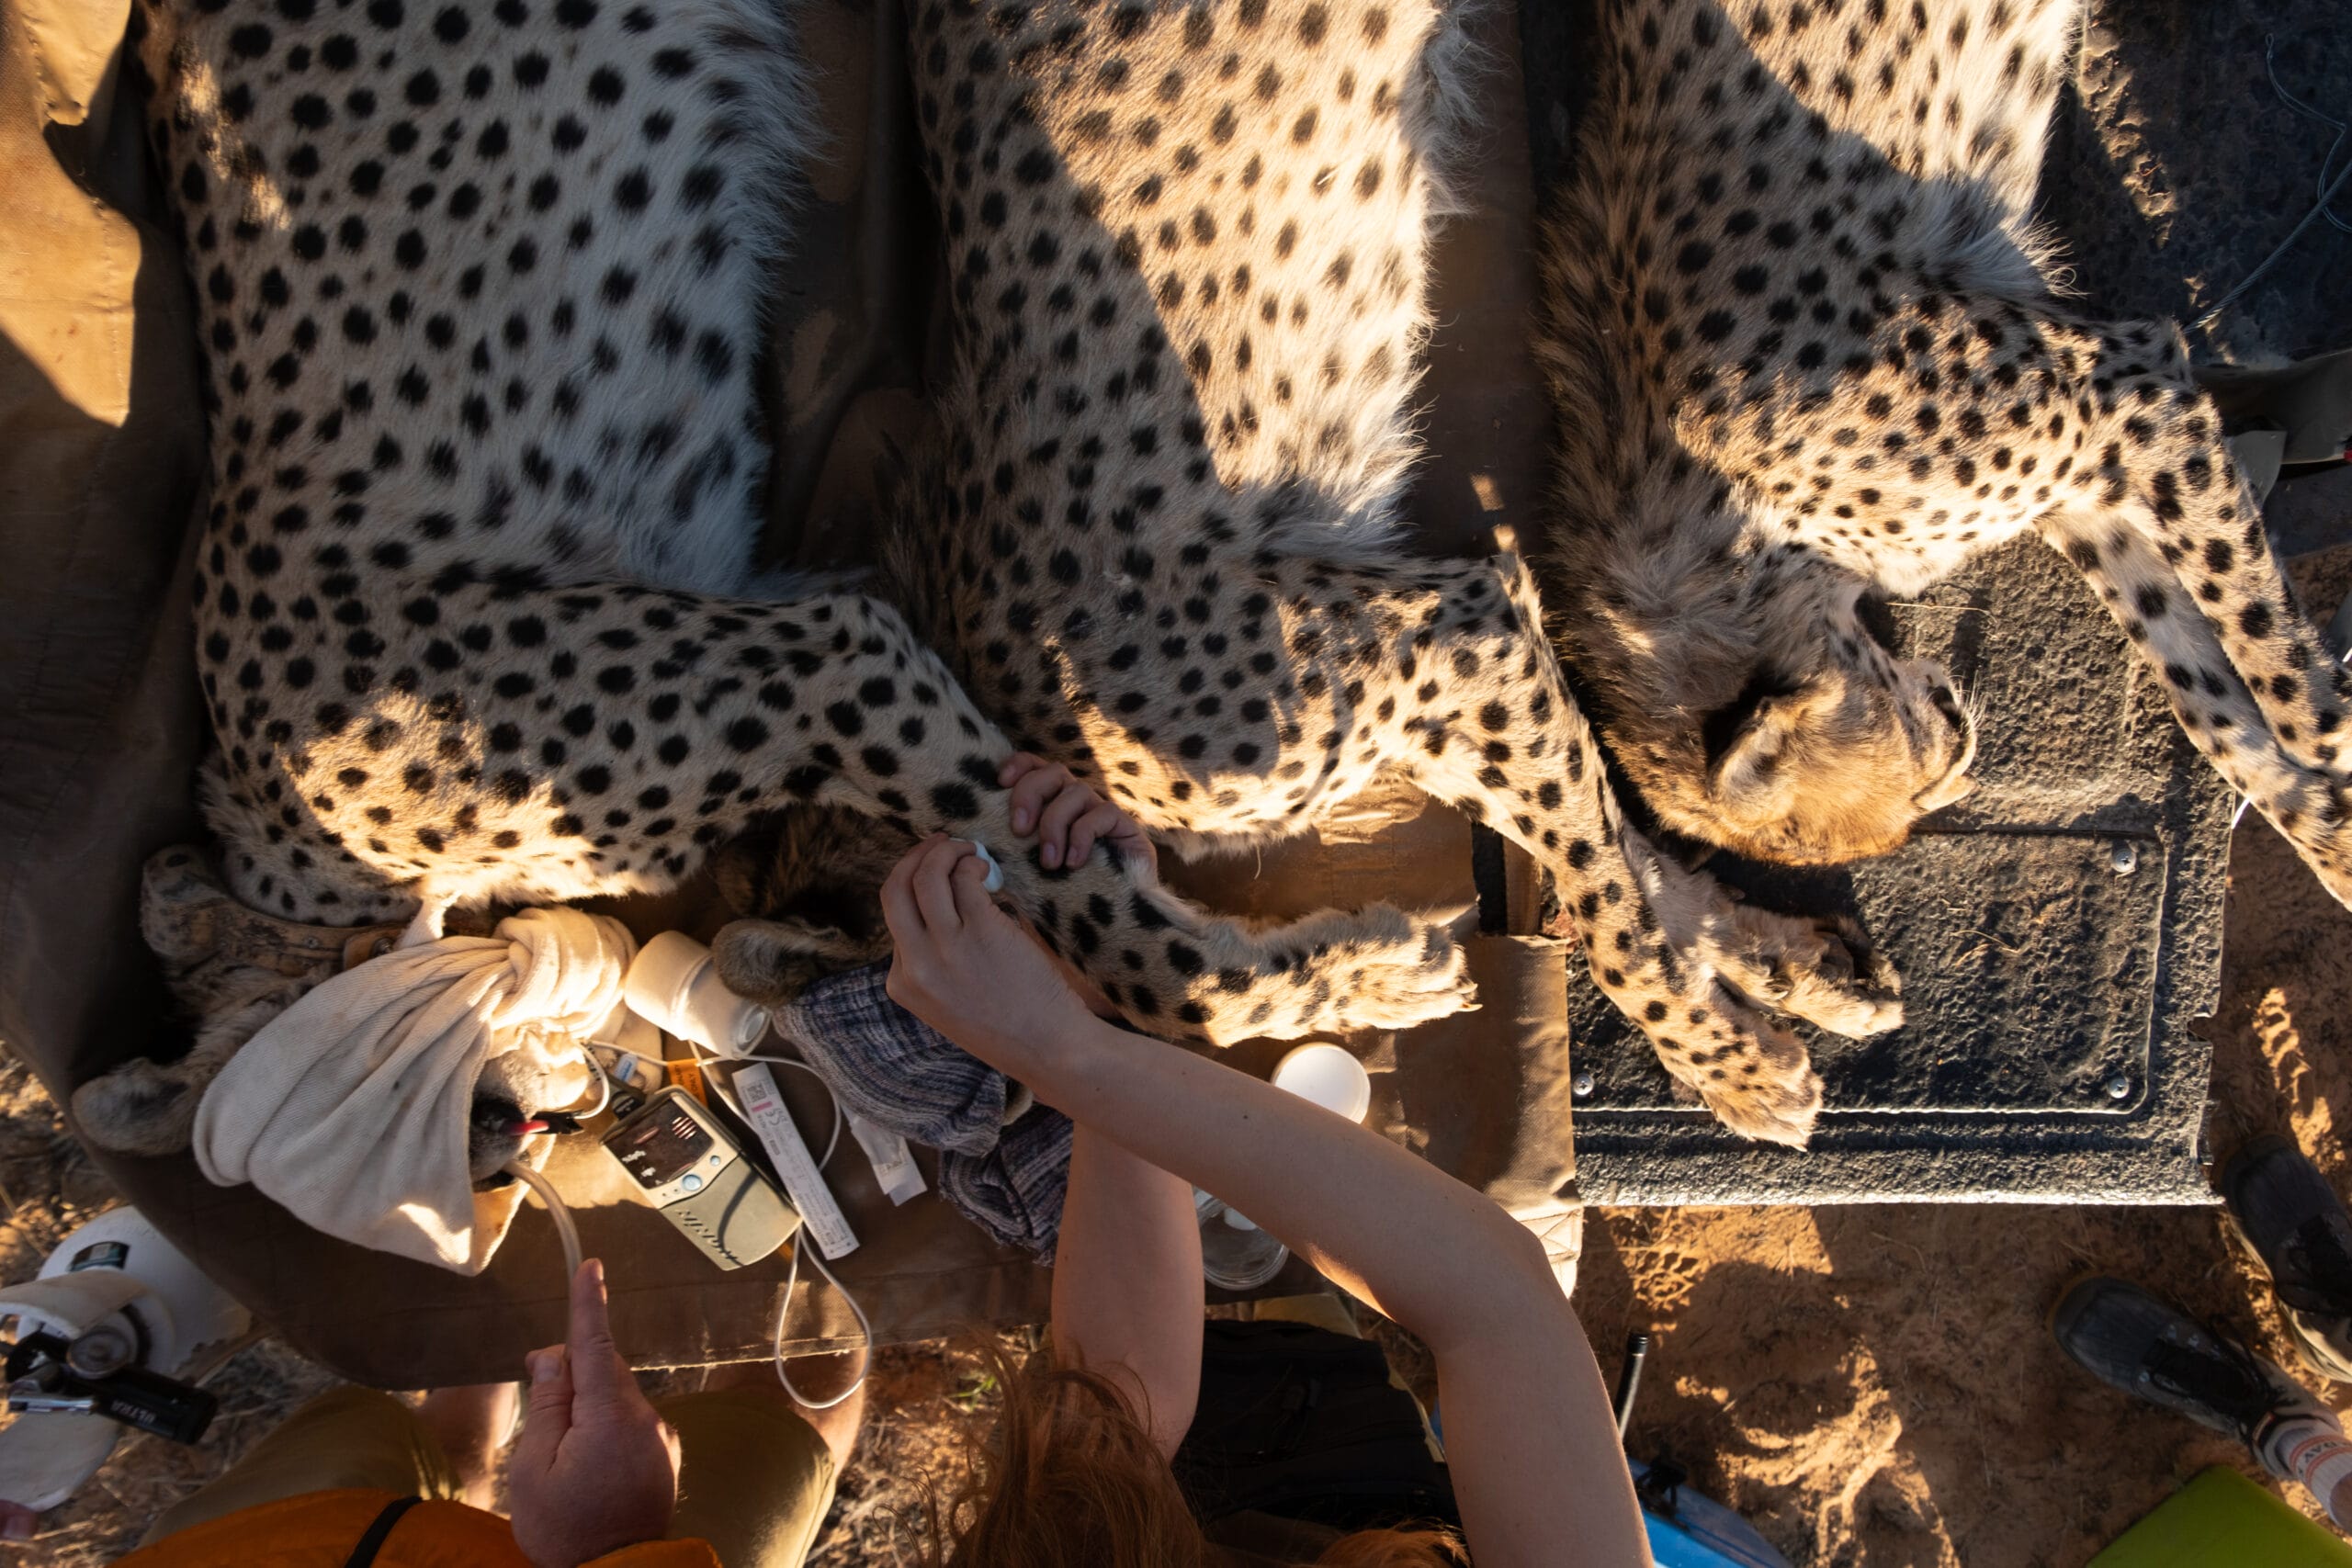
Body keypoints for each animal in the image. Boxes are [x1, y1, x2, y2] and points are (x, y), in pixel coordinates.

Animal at [78, 0, 1490, 1162]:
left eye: (448, 1121)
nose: (536, 1136)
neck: (316, 861)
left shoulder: (828, 652)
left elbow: (1119, 946)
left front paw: (1351, 971)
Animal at [741, 0, 1911, 1147]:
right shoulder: (1461, 680)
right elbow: (1627, 863)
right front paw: (1782, 967)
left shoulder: (1462, 632)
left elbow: (1606, 907)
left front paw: (1719, 1056)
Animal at [1538, 0, 2352, 904]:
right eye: (1921, 793)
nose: (1961, 733)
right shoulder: (2092, 476)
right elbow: (2208, 696)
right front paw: (2331, 836)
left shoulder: (2135, 391)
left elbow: (2291, 691)